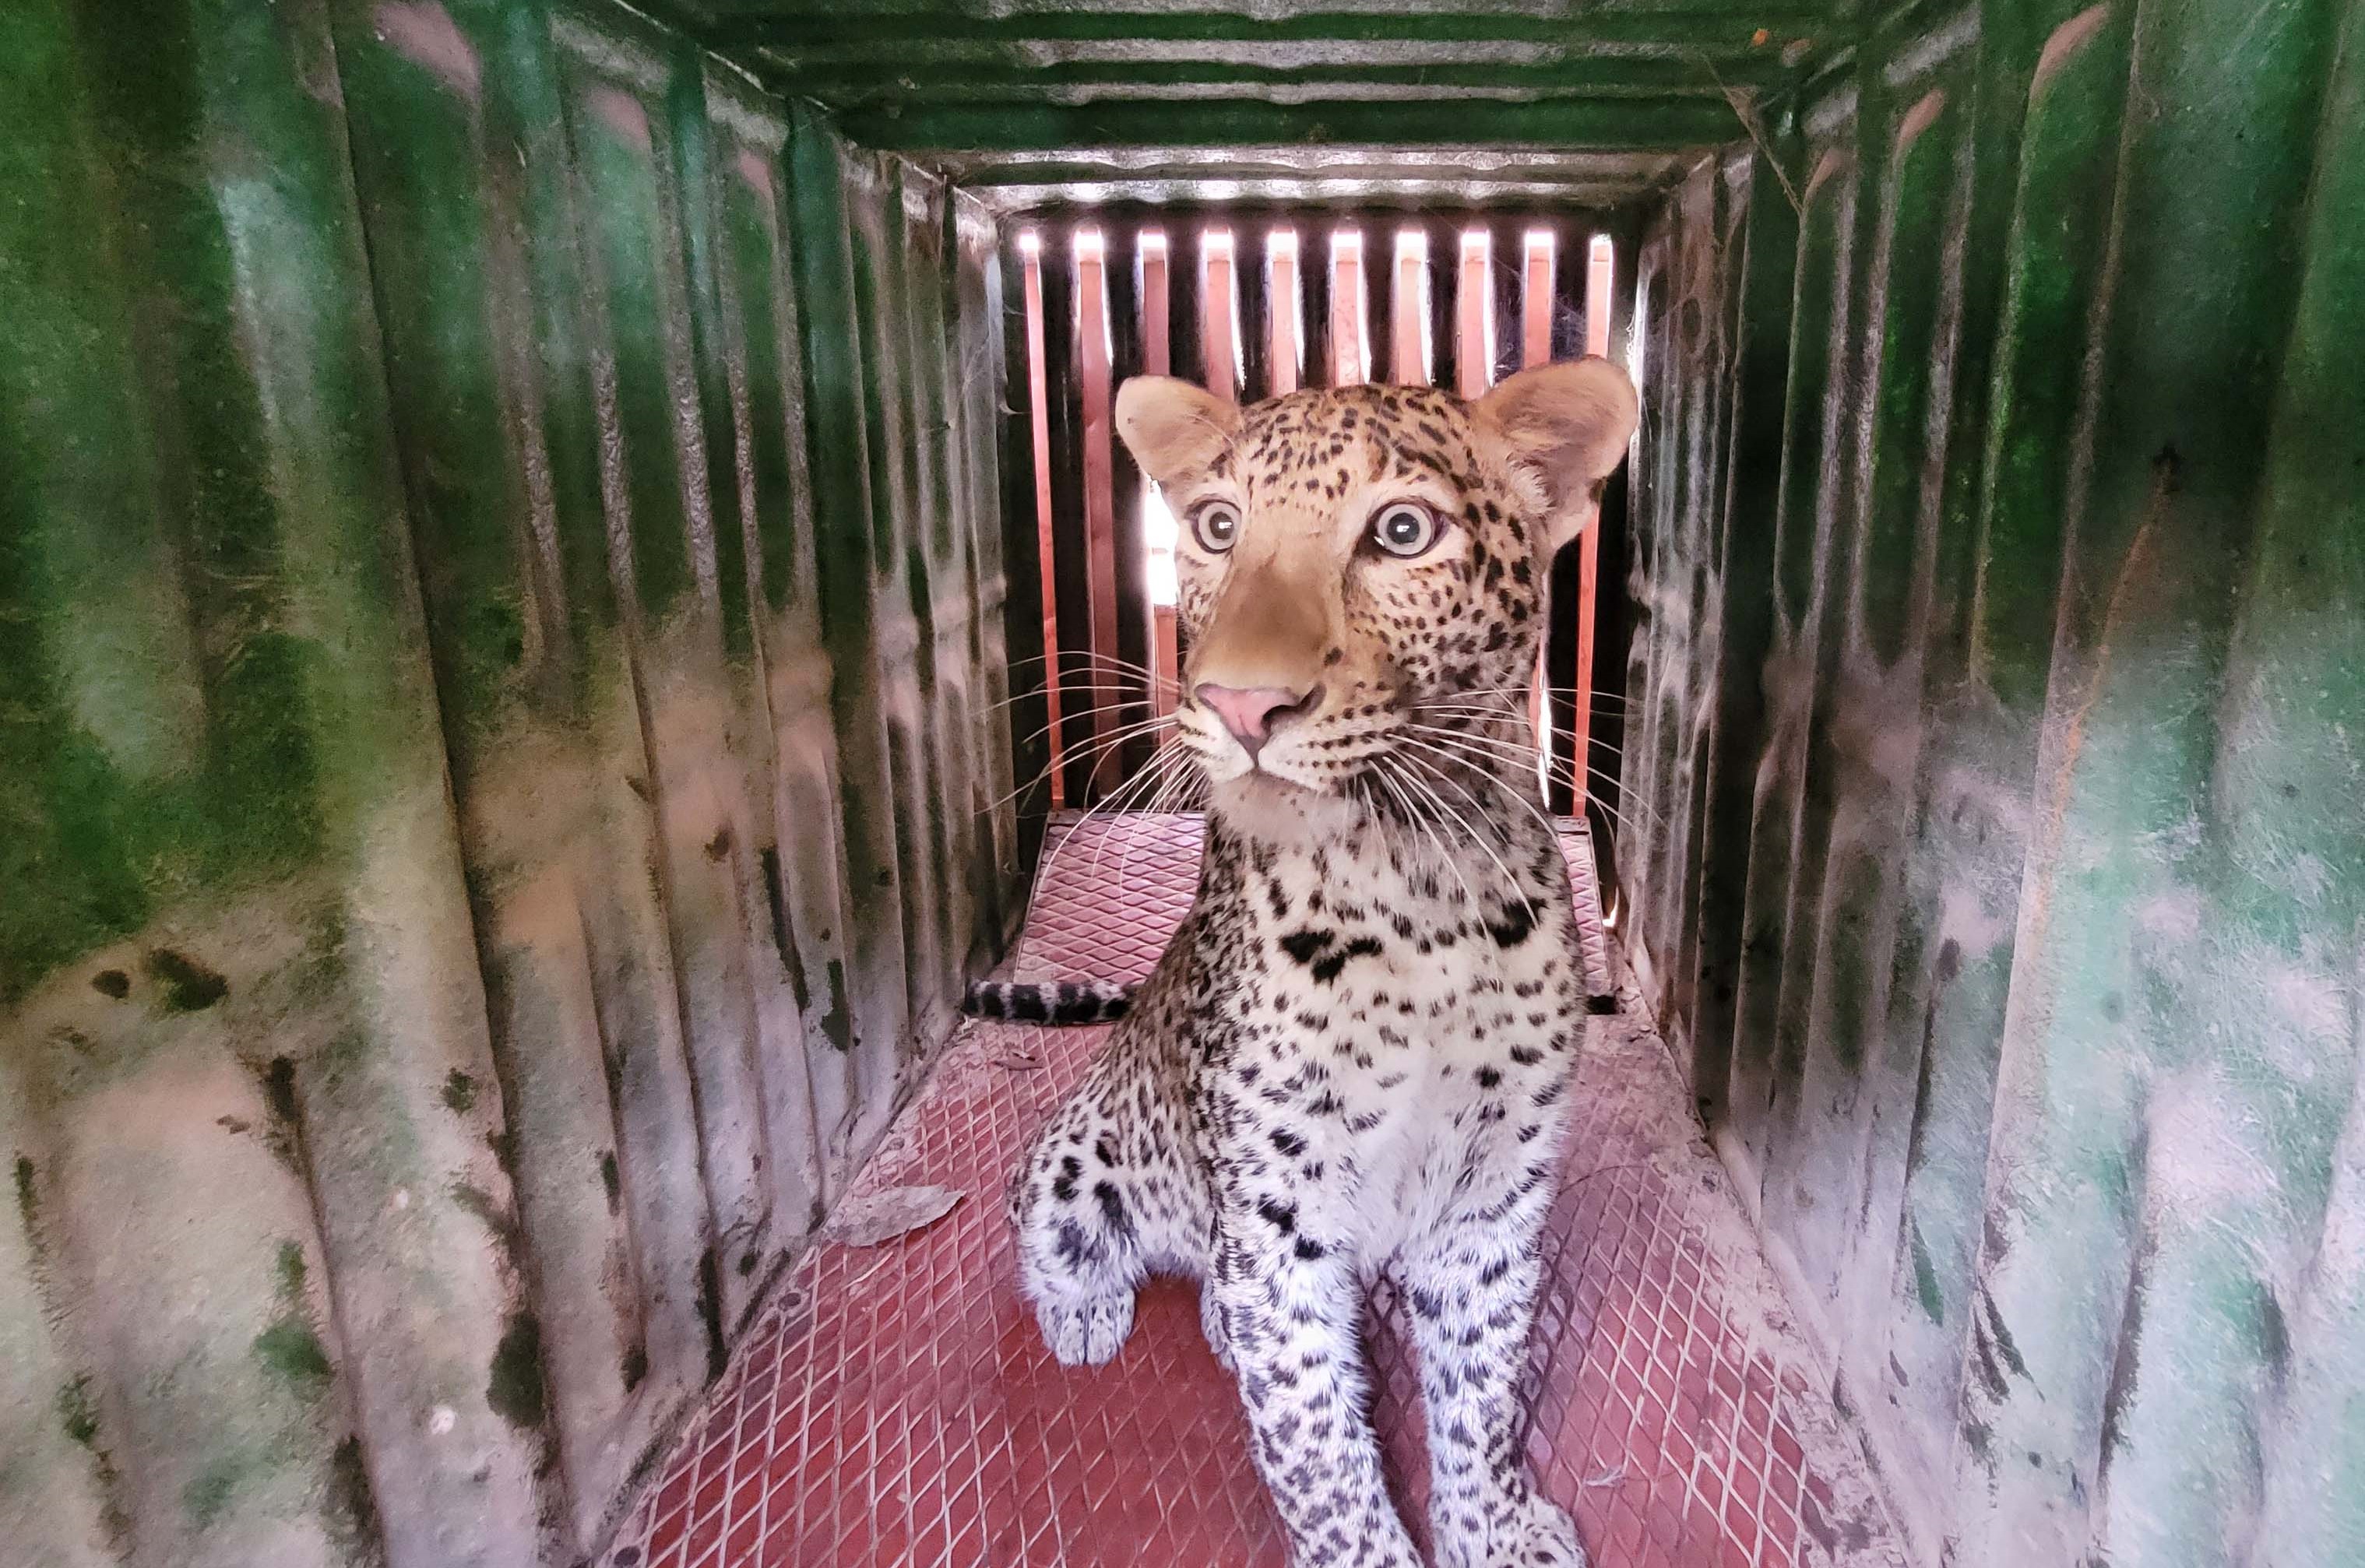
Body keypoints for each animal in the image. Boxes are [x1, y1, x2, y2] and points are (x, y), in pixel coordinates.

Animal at [974, 359, 1627, 1568]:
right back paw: (1088, 1309)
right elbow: (1317, 1451)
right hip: (1077, 1154)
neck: (1415, 895)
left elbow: (1485, 1390)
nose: (1239, 705)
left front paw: (1493, 1529)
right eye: (1216, 526)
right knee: (1061, 1229)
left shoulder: (1494, 1190)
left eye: (1403, 531)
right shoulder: (1276, 1209)